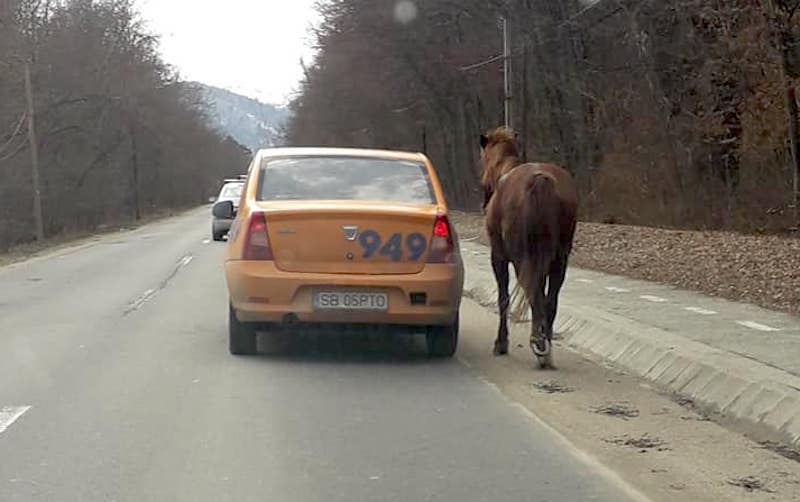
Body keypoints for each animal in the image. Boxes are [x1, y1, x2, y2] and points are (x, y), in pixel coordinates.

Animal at [482, 126, 576, 368]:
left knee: (534, 294)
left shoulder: (498, 256)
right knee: (549, 300)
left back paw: (539, 345)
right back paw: (546, 345)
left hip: (521, 259)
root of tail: (540, 181)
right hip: (559, 259)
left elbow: (503, 298)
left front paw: (501, 343)